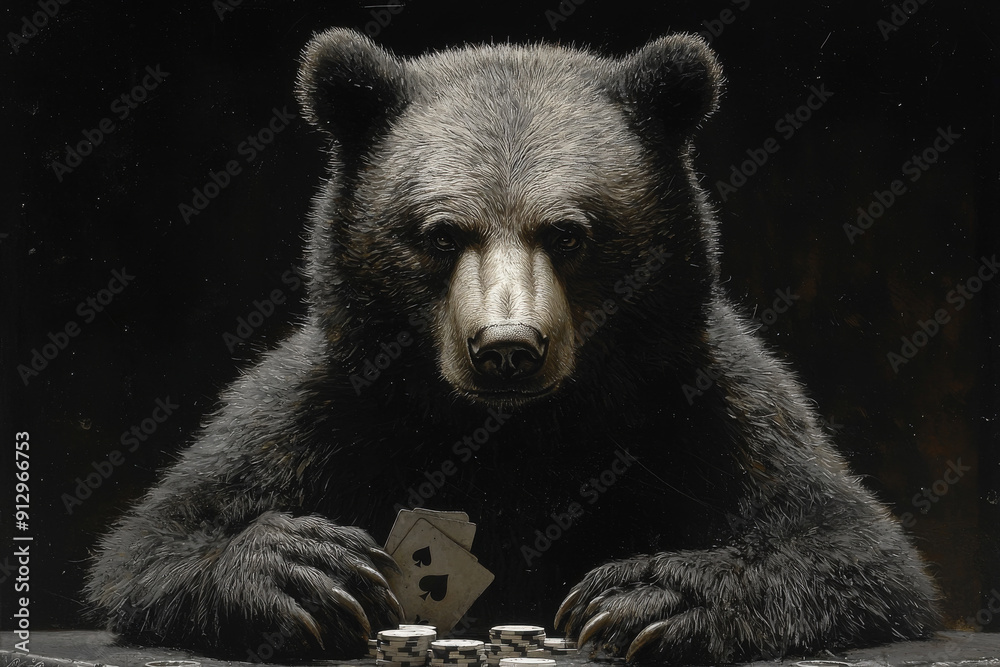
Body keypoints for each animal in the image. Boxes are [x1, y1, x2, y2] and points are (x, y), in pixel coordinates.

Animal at [85, 28, 940, 664]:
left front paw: (646, 594)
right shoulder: (330, 402)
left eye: (567, 232)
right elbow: (155, 538)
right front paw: (306, 569)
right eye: (441, 232)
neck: (519, 430)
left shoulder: (698, 400)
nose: (505, 346)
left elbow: (851, 543)